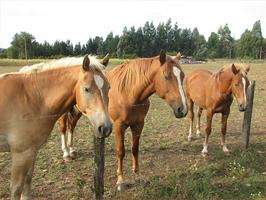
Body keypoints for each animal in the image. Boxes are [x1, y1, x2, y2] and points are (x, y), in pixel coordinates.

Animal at [0, 55, 111, 200]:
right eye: (86, 89)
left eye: (109, 88)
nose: (106, 128)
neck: (31, 97)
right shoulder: (21, 154)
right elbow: (16, 189)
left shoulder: (31, 151)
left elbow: (27, 182)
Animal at [57, 50, 188, 190]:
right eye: (166, 76)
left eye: (182, 76)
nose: (183, 109)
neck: (128, 93)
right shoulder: (119, 126)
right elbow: (121, 151)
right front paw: (120, 180)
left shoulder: (139, 124)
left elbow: (135, 148)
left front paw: (137, 173)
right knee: (63, 127)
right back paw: (66, 153)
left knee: (72, 126)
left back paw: (72, 150)